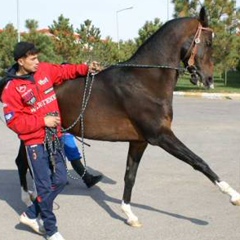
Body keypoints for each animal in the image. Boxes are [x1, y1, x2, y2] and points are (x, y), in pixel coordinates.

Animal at [4, 6, 240, 227]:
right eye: (208, 42)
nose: (209, 79)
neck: (144, 81)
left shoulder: (139, 141)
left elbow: (130, 176)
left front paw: (129, 214)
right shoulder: (161, 136)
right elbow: (199, 162)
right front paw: (232, 195)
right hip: (32, 135)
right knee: (22, 162)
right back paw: (28, 197)